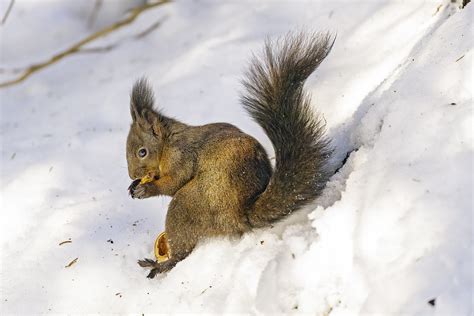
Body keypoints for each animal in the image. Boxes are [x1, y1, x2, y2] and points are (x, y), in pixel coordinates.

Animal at [126, 32, 334, 278]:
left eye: (142, 152)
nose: (132, 175)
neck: (168, 142)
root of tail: (240, 216)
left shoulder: (181, 156)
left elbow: (173, 182)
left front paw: (146, 188)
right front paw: (133, 187)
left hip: (188, 204)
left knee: (181, 244)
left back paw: (162, 264)